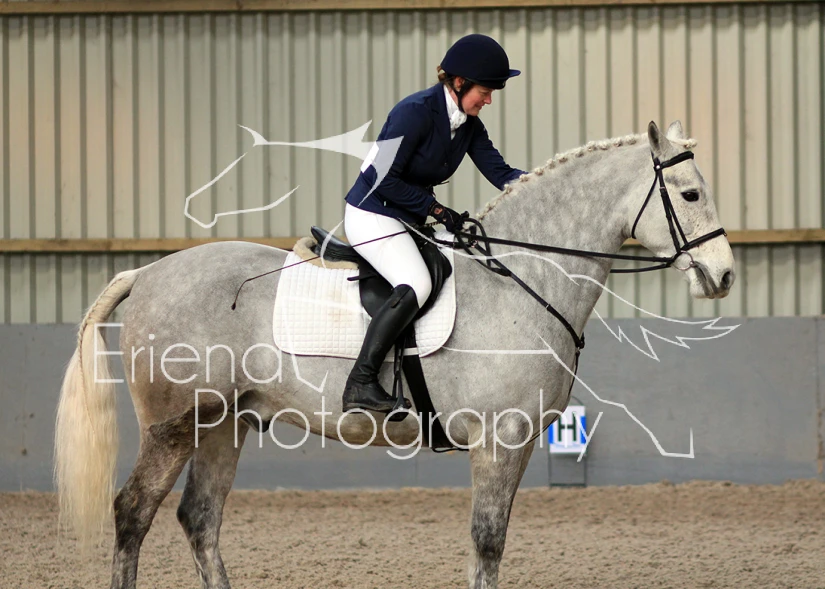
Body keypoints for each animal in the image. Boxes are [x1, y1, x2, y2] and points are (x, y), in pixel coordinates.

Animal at [55, 121, 735, 589]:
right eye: (691, 194)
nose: (724, 276)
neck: (519, 279)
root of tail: (147, 272)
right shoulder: (500, 439)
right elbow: (488, 542)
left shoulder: (515, 443)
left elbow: (491, 542)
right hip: (176, 425)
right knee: (133, 511)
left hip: (226, 422)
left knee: (200, 518)